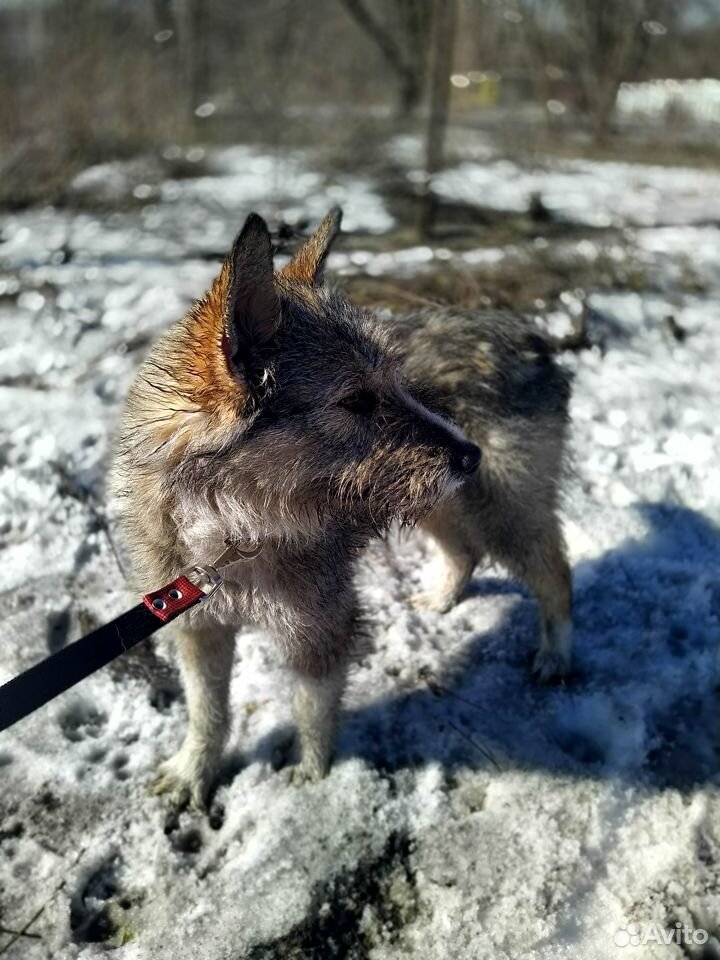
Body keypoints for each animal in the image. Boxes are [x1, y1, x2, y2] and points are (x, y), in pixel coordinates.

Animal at [111, 210, 572, 808]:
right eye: (356, 400)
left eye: (398, 381)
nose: (471, 454)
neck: (230, 532)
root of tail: (527, 334)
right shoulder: (197, 628)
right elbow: (206, 711)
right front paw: (195, 769)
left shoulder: (321, 629)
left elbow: (311, 711)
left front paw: (312, 782)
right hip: (433, 500)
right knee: (466, 552)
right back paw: (443, 598)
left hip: (500, 509)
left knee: (554, 571)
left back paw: (557, 653)